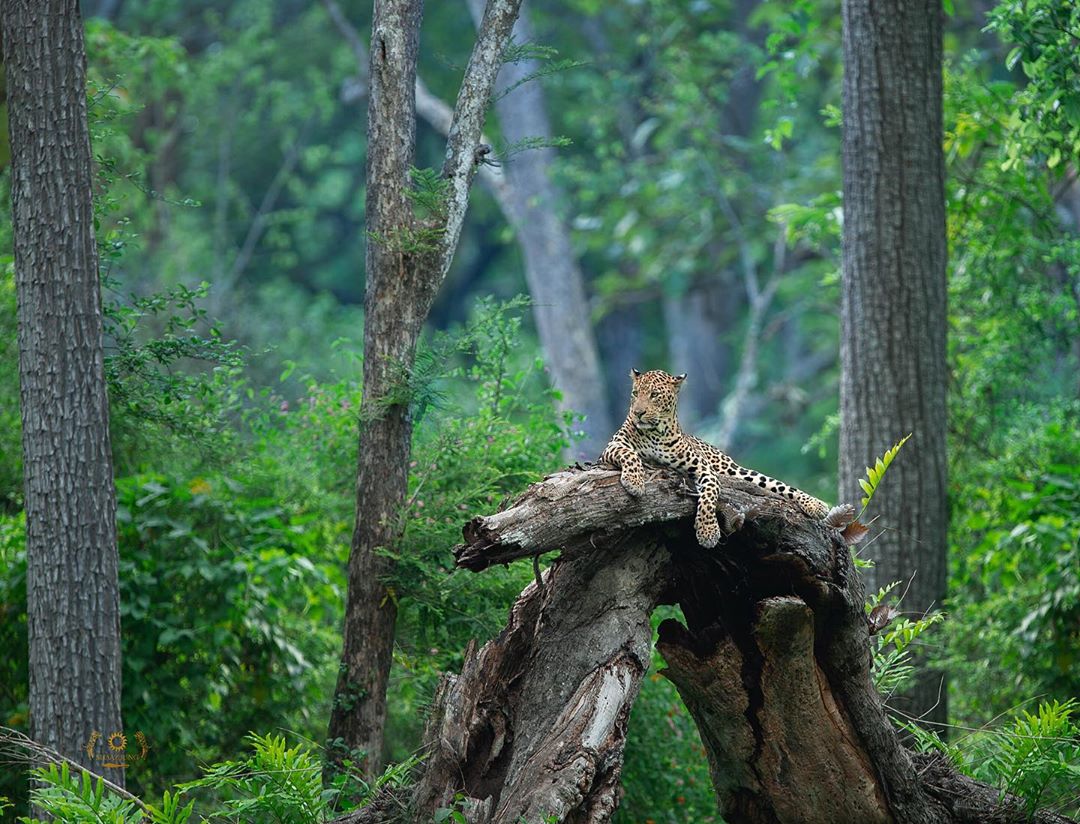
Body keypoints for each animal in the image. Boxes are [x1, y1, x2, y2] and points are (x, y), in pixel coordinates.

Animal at [596, 371, 829, 550]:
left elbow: (709, 497)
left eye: (654, 395)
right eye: (635, 394)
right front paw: (634, 482)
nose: (638, 413)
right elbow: (631, 454)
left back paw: (817, 505)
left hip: (733, 470)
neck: (656, 433)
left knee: (776, 484)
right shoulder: (612, 447)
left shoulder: (705, 470)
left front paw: (708, 532)